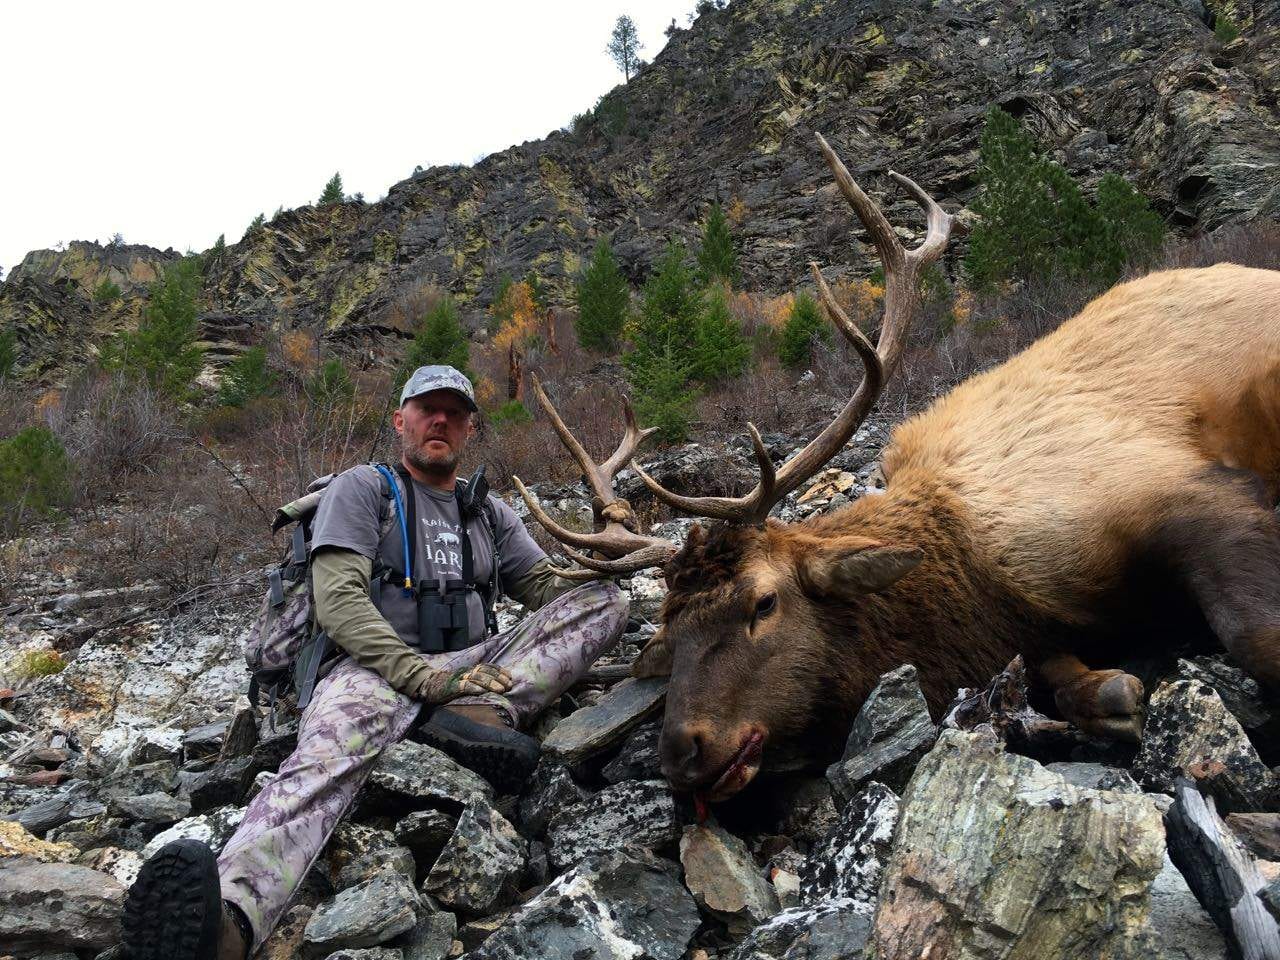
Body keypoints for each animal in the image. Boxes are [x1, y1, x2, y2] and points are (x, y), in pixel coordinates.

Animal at [514, 133, 1280, 804]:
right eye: (671, 632)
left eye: (764, 602)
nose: (681, 752)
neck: (977, 580)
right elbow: (1069, 679)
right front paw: (1106, 692)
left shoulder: (1175, 492)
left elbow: (1255, 635)